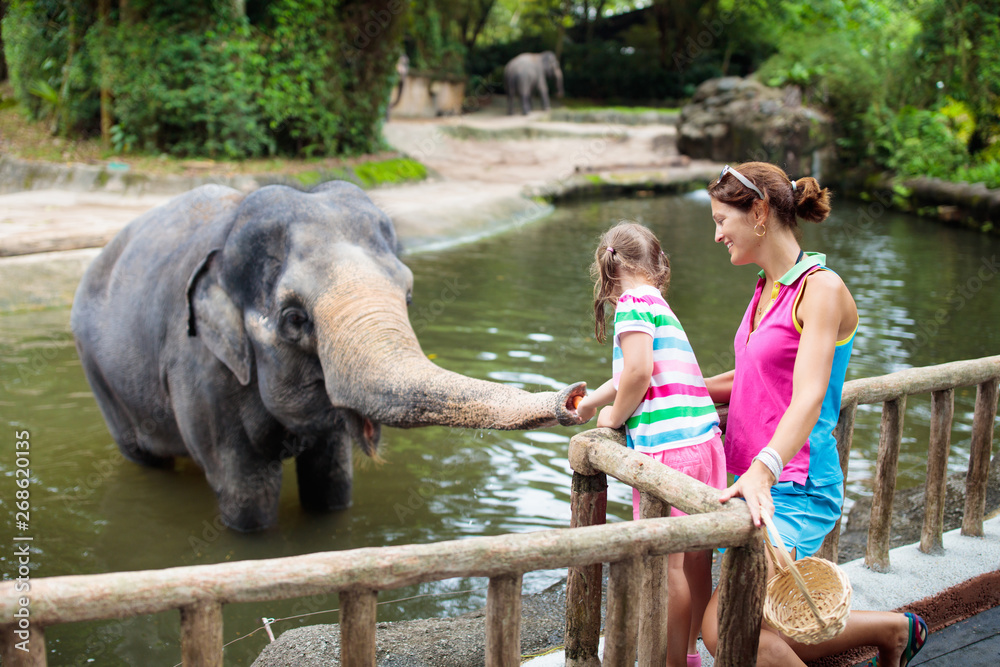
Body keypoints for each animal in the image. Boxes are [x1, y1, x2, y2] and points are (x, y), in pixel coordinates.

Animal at [70, 181, 586, 532]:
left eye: (409, 294)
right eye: (295, 319)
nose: (574, 397)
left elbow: (332, 483)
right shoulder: (202, 370)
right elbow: (247, 497)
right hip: (99, 373)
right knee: (143, 456)